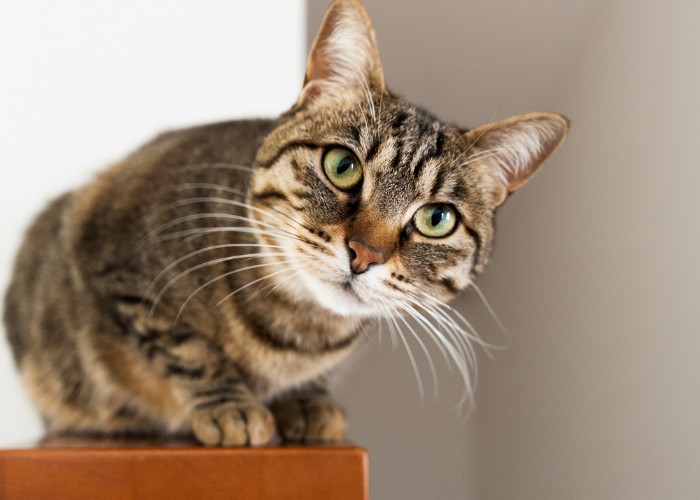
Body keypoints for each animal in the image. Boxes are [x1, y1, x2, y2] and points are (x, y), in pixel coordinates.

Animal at [1, 0, 568, 446]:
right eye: (343, 166)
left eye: (436, 218)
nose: (365, 254)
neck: (301, 332)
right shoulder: (115, 258)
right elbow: (185, 346)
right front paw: (230, 406)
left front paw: (306, 400)